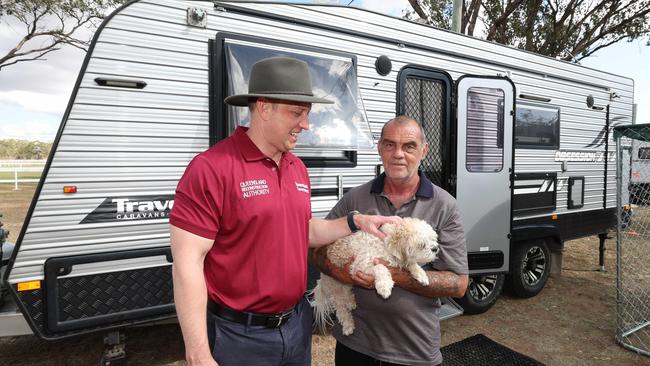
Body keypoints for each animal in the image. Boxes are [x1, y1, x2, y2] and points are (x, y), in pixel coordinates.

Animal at [308, 217, 436, 334]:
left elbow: (412, 264)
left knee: (347, 295)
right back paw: (348, 326)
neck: (385, 243)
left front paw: (421, 275)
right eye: (422, 244)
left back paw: (351, 302)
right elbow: (380, 267)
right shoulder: (361, 264)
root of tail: (321, 281)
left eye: (433, 239)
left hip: (345, 285)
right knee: (341, 310)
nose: (435, 248)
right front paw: (384, 286)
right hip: (335, 291)